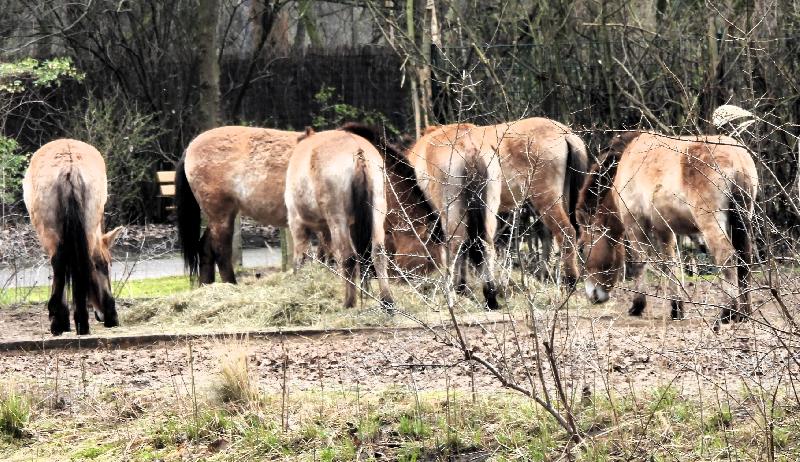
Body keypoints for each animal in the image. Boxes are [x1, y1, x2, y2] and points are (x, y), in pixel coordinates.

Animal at [22, 139, 123, 336]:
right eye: (105, 266)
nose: (110, 316)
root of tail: (70, 166)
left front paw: (61, 318)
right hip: (87, 226)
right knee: (81, 264)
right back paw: (83, 322)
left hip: (49, 232)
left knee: (60, 264)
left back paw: (61, 320)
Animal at [284, 125, 397, 308]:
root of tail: (357, 151)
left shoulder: (297, 224)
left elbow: (301, 258)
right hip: (376, 214)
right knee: (378, 254)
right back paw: (387, 302)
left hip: (338, 220)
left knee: (348, 256)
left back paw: (349, 303)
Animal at [576, 131, 758, 324]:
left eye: (581, 249)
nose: (593, 295)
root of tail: (737, 158)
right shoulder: (664, 229)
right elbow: (670, 263)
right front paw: (677, 308)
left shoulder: (634, 223)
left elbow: (639, 262)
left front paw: (637, 305)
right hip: (741, 224)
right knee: (745, 259)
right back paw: (745, 313)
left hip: (712, 224)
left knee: (726, 256)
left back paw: (727, 312)